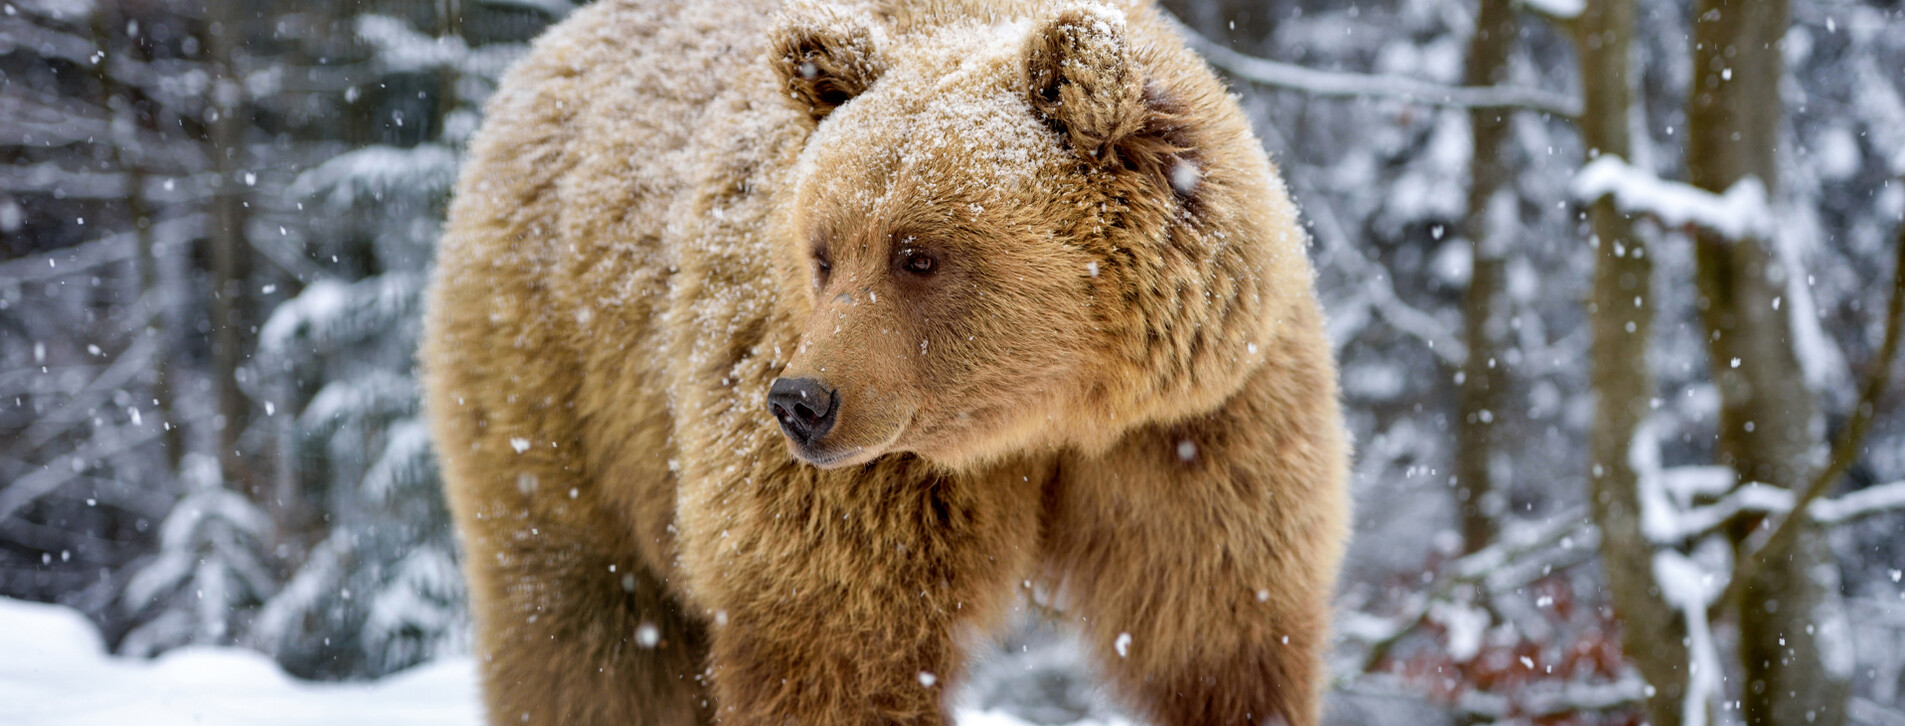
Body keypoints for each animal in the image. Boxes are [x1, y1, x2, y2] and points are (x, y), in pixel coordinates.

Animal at [424, 0, 1348, 720]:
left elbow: (1218, 636)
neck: (1050, 419)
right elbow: (840, 643)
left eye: (918, 255)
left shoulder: (1196, 433)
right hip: (554, 387)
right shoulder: (862, 476)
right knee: (585, 624)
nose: (801, 401)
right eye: (823, 252)